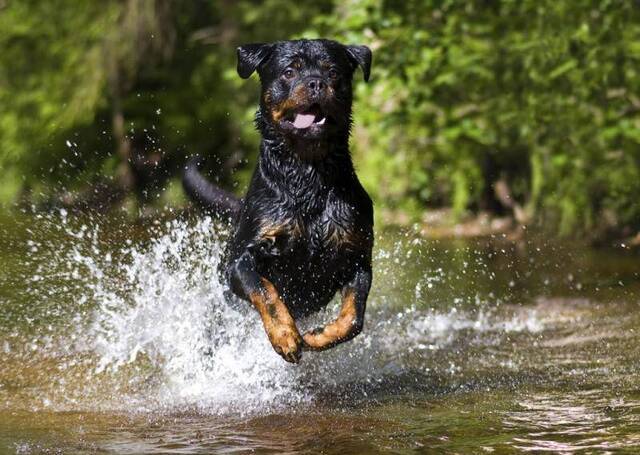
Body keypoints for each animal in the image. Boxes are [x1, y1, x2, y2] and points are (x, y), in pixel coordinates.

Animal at [182, 41, 372, 366]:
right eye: (289, 72)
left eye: (333, 72)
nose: (315, 82)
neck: (308, 176)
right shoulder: (240, 262)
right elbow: (266, 293)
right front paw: (285, 336)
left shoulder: (357, 258)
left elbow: (353, 317)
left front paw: (319, 336)